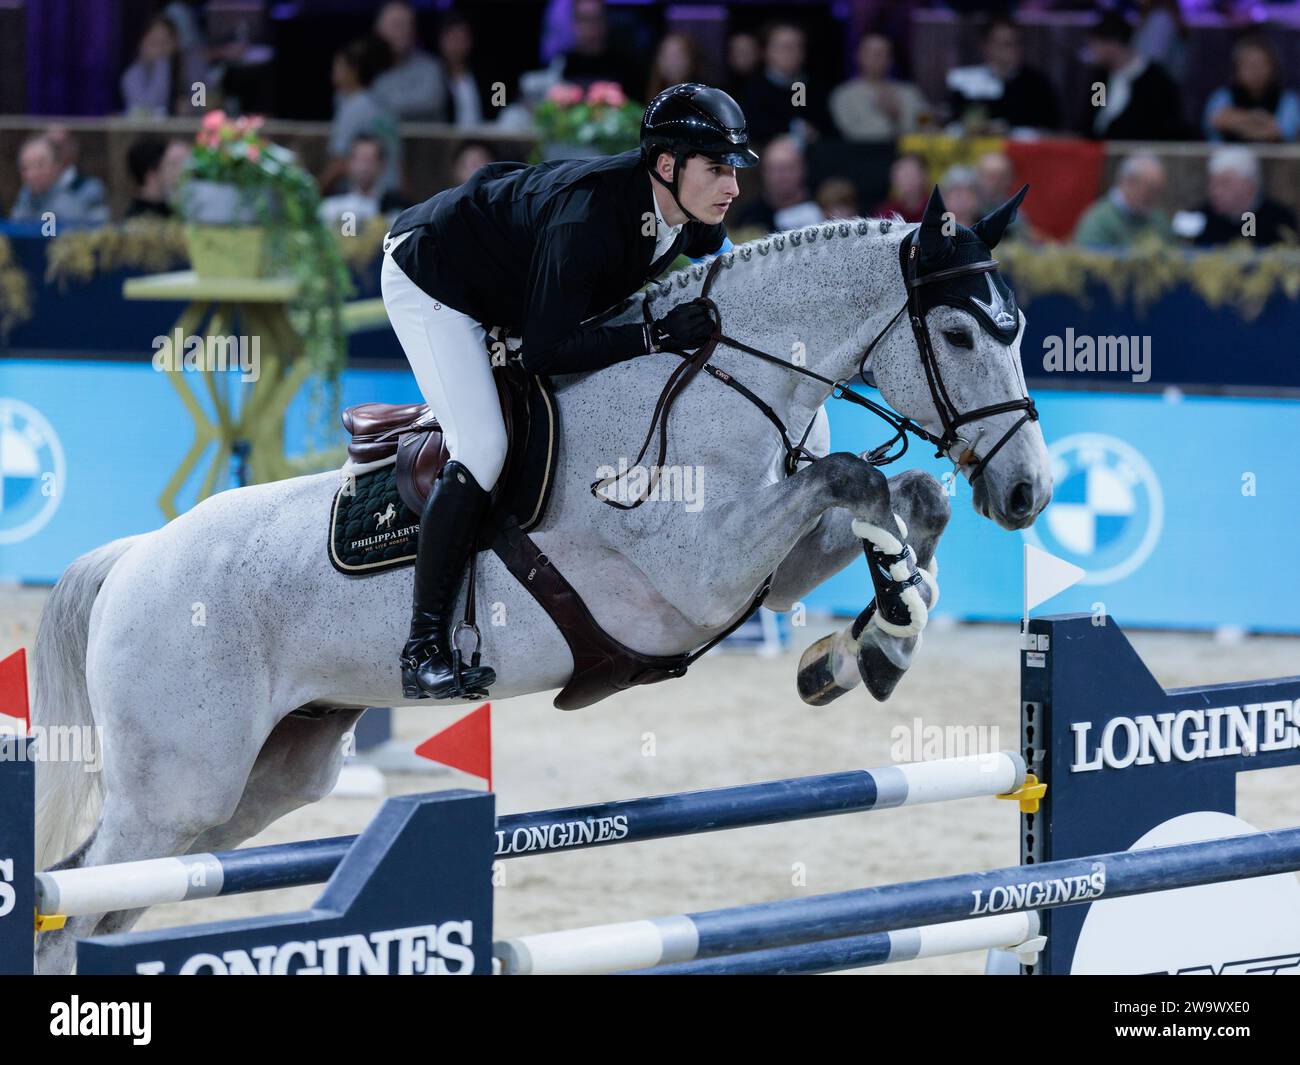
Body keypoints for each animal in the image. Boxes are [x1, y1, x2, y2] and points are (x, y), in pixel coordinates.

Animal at [30, 187, 1050, 972]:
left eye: (1020, 329)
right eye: (959, 333)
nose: (1028, 492)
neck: (720, 381)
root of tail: (133, 559)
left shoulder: (768, 566)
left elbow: (905, 496)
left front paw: (865, 647)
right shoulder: (699, 578)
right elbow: (857, 478)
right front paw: (874, 642)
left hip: (259, 782)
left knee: (104, 899)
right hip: (177, 790)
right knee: (70, 905)